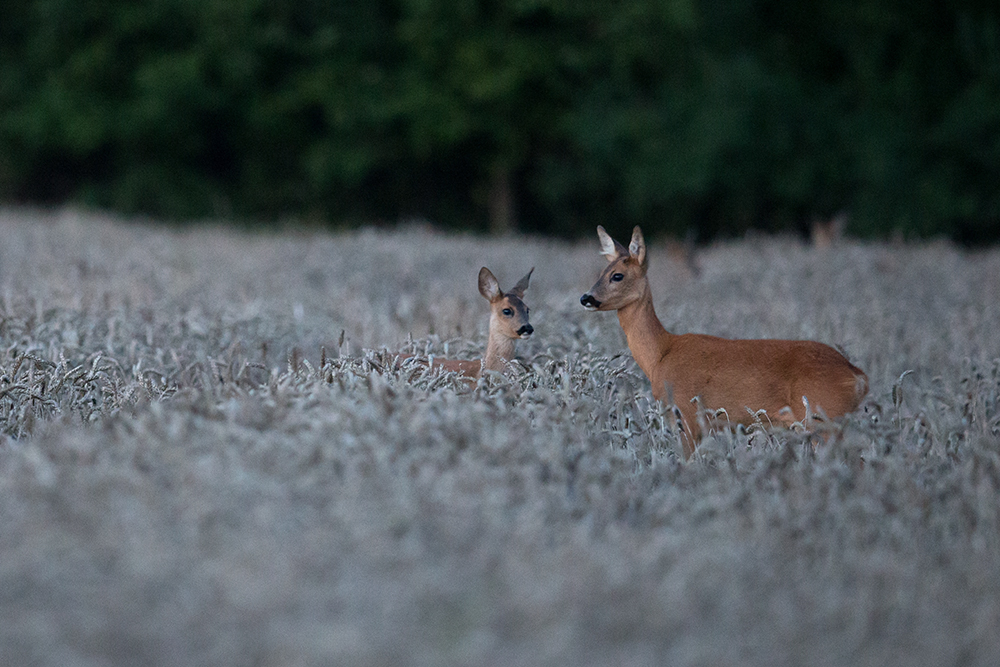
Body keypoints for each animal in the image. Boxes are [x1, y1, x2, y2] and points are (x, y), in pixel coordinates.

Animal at [580, 226, 868, 460]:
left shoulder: (687, 415)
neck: (660, 354)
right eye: (601, 272)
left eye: (617, 275)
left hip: (824, 420)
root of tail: (858, 375)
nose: (586, 298)